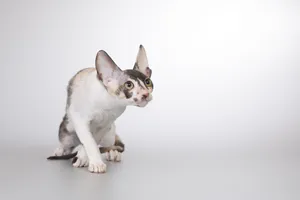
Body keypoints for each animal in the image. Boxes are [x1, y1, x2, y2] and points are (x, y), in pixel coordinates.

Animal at [47, 44, 154, 173]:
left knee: (107, 143)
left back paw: (112, 152)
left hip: (110, 133)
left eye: (148, 82)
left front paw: (84, 158)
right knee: (67, 143)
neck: (109, 104)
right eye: (129, 85)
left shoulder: (106, 125)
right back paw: (60, 150)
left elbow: (92, 141)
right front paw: (95, 162)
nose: (146, 94)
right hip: (68, 128)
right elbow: (89, 141)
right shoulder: (79, 119)